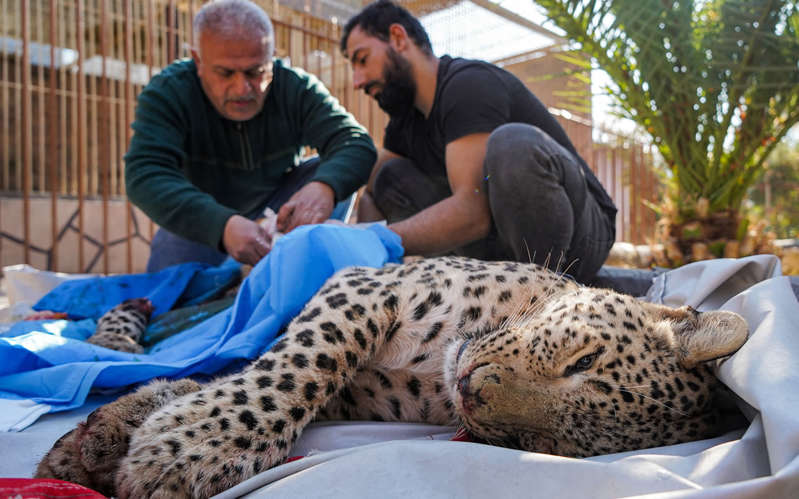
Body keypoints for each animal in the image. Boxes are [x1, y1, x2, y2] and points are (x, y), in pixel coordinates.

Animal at [36, 256, 752, 498]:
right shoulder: (363, 287)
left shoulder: (356, 398)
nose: (473, 390)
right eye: (580, 362)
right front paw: (194, 447)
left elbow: (266, 378)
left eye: (538, 446)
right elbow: (296, 366)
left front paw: (117, 440)